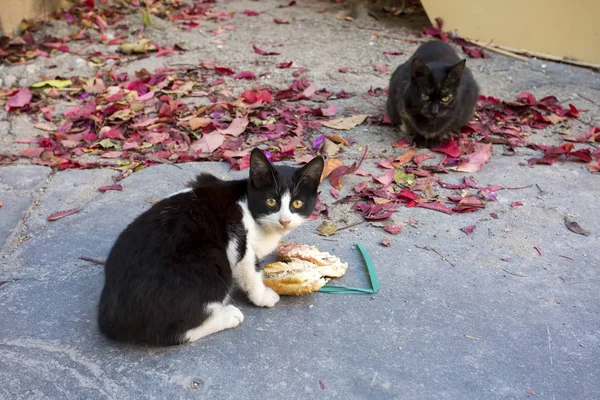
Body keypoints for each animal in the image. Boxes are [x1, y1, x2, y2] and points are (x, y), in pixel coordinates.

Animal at [97, 148, 324, 346]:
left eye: (297, 203)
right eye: (271, 201)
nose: (285, 221)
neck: (249, 207)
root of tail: (111, 316)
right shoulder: (239, 241)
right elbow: (250, 272)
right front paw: (262, 295)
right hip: (211, 265)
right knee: (171, 332)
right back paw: (228, 316)